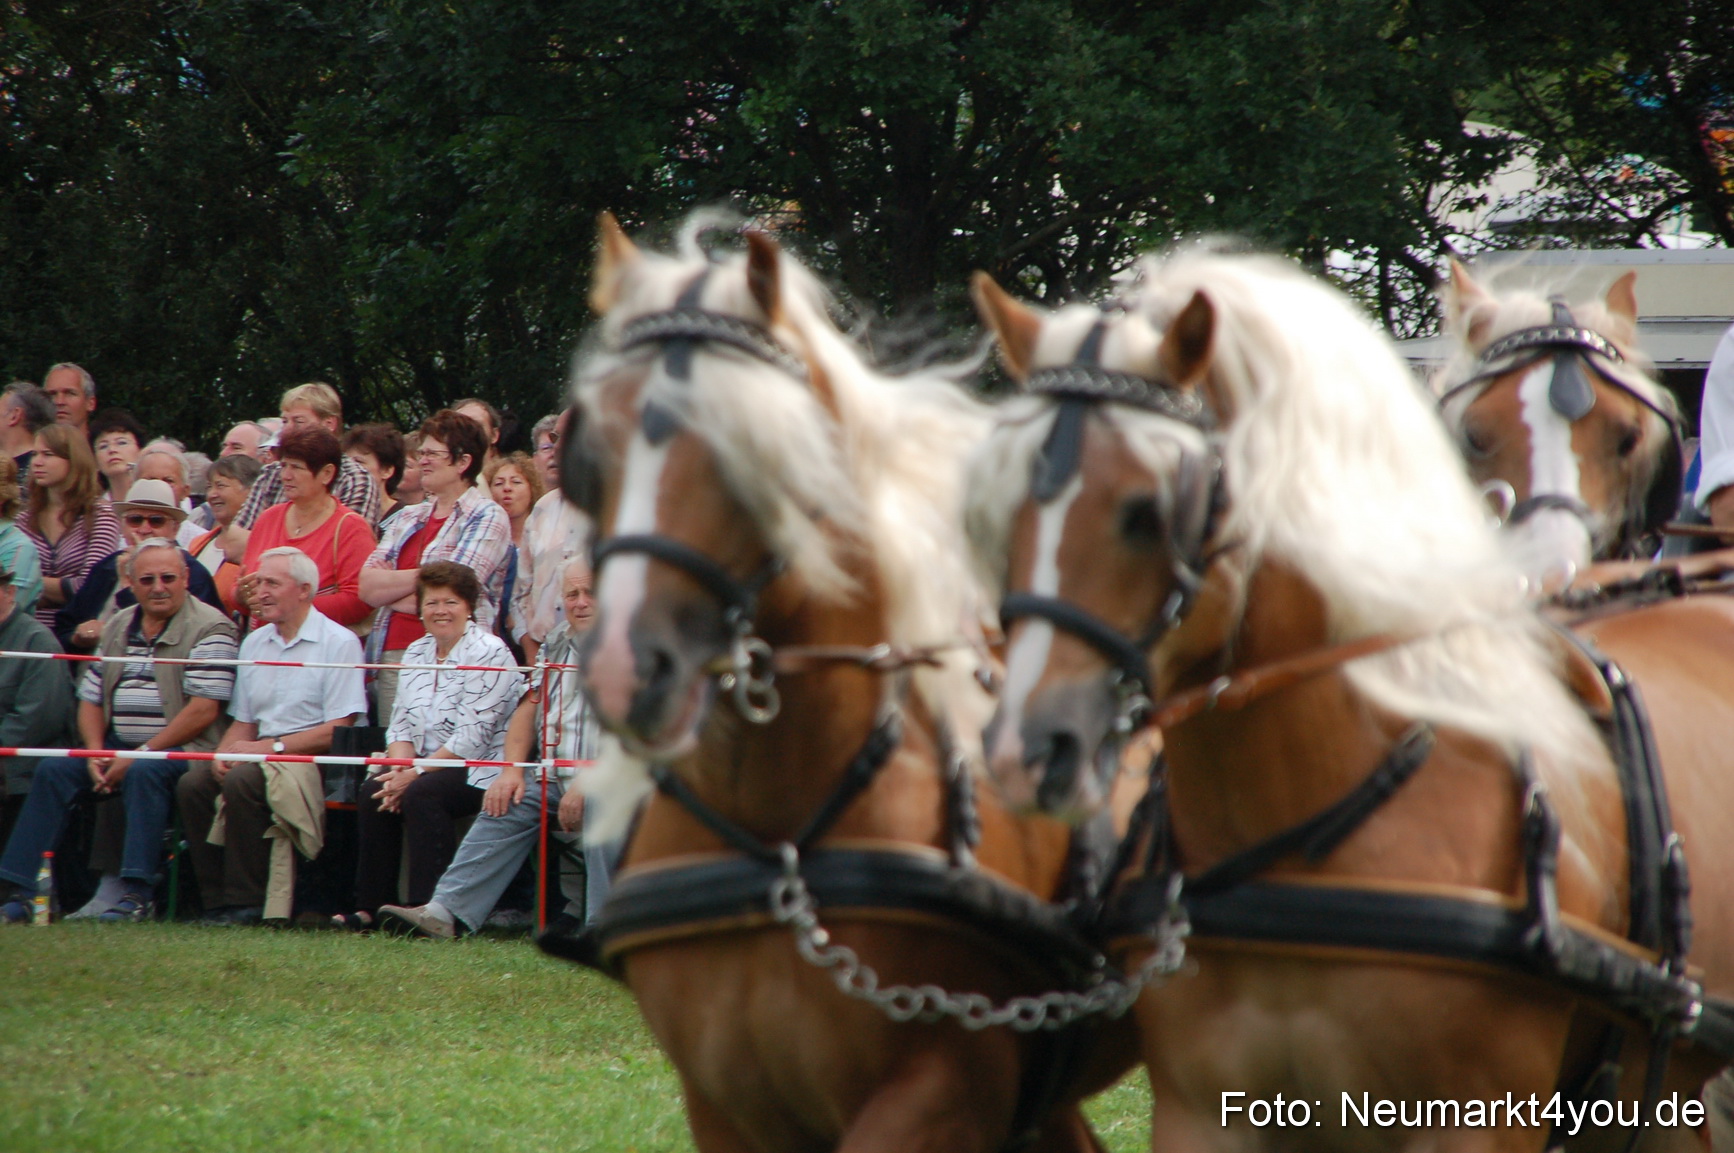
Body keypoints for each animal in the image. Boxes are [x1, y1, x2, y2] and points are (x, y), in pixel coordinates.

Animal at [552, 213, 1137, 1153]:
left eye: (756, 453)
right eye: (587, 452)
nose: (619, 669)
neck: (779, 837)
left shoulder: (940, 1092)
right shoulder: (722, 1106)